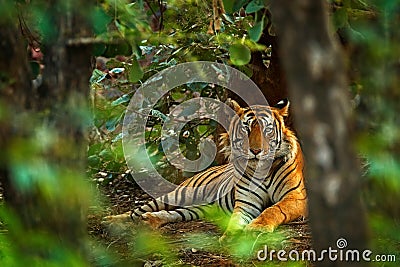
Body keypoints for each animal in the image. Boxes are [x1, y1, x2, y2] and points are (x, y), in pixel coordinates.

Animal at [102, 98, 306, 239]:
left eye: (267, 130)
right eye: (246, 129)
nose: (256, 151)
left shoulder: (296, 197)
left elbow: (273, 210)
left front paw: (257, 228)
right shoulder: (247, 202)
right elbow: (236, 220)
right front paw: (230, 237)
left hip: (199, 208)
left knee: (172, 213)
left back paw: (149, 220)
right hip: (179, 194)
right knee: (136, 211)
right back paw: (111, 221)